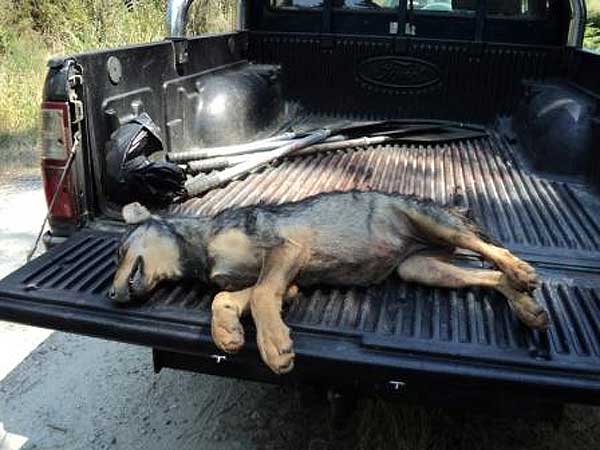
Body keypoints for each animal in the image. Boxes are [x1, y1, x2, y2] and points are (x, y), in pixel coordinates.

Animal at [108, 192, 548, 374]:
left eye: (119, 251)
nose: (111, 295)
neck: (201, 248)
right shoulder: (286, 282)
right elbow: (224, 299)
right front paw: (228, 333)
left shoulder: (285, 251)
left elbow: (261, 296)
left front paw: (274, 347)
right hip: (421, 268)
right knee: (490, 275)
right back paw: (526, 305)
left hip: (434, 224)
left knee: (490, 249)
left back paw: (523, 272)